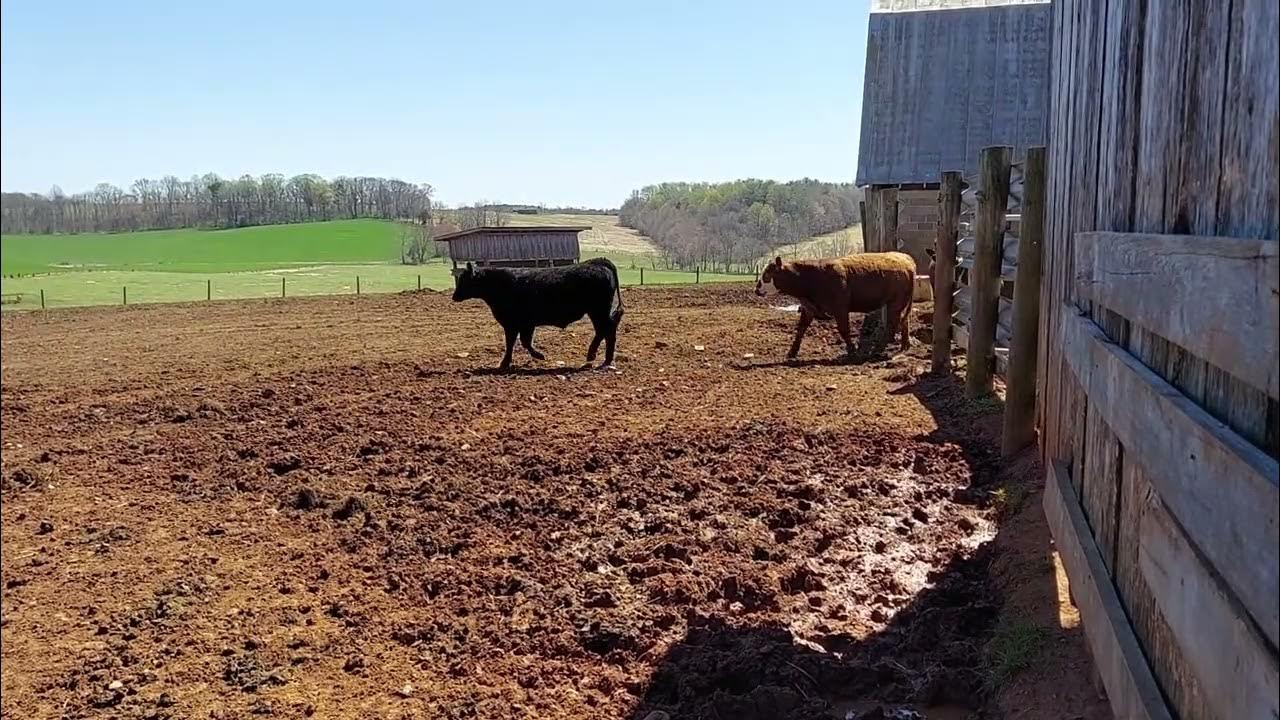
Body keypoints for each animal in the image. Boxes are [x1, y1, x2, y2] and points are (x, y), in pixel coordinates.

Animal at [451, 257, 625, 370]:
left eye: (464, 279)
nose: (454, 296)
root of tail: (599, 262)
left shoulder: (512, 324)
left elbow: (512, 343)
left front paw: (505, 363)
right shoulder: (526, 324)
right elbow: (525, 341)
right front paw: (539, 356)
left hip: (598, 310)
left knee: (607, 330)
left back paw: (602, 359)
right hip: (598, 311)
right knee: (604, 330)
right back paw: (598, 358)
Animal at [754, 252, 917, 358]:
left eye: (767, 275)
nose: (756, 290)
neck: (812, 277)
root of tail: (907, 262)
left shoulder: (840, 309)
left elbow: (844, 330)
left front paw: (852, 351)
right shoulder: (808, 309)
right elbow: (800, 330)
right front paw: (792, 352)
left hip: (895, 304)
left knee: (892, 324)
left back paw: (878, 349)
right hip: (901, 304)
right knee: (904, 322)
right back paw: (904, 345)